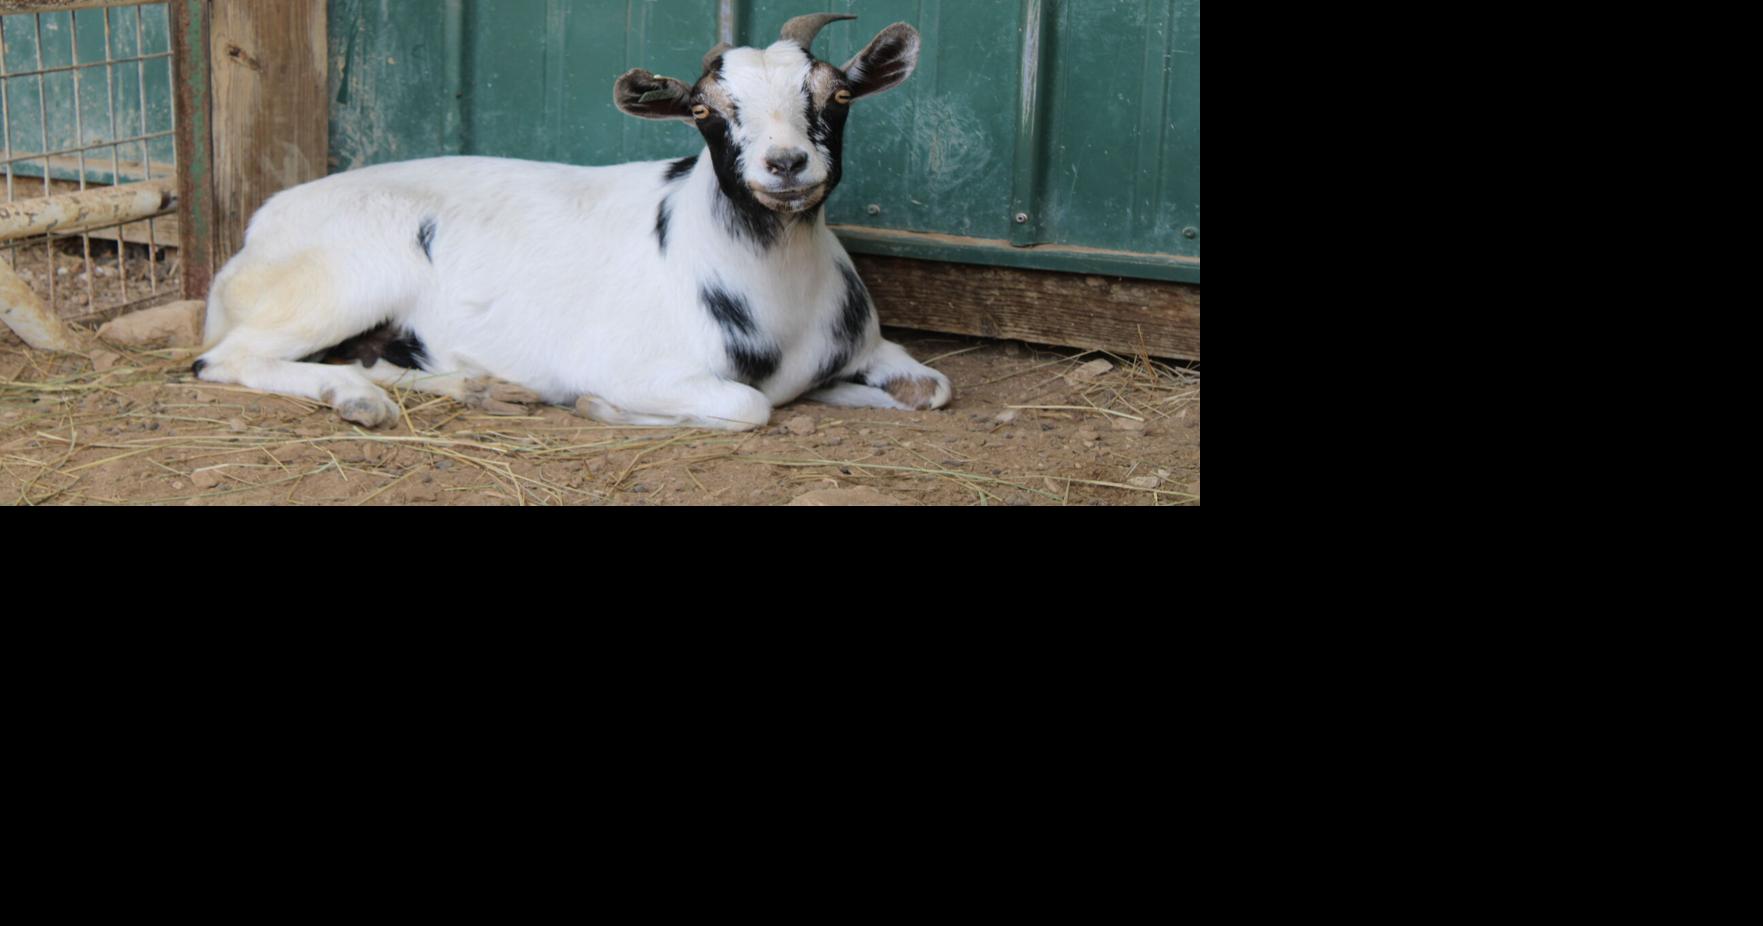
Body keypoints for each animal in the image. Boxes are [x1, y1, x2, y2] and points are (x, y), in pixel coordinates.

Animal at [191, 14, 952, 431]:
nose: (786, 163)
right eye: (703, 110)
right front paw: (598, 408)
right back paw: (355, 399)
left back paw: (474, 386)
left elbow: (934, 389)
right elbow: (748, 407)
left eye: (839, 94)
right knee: (227, 360)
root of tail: (257, 231)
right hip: (338, 285)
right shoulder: (639, 366)